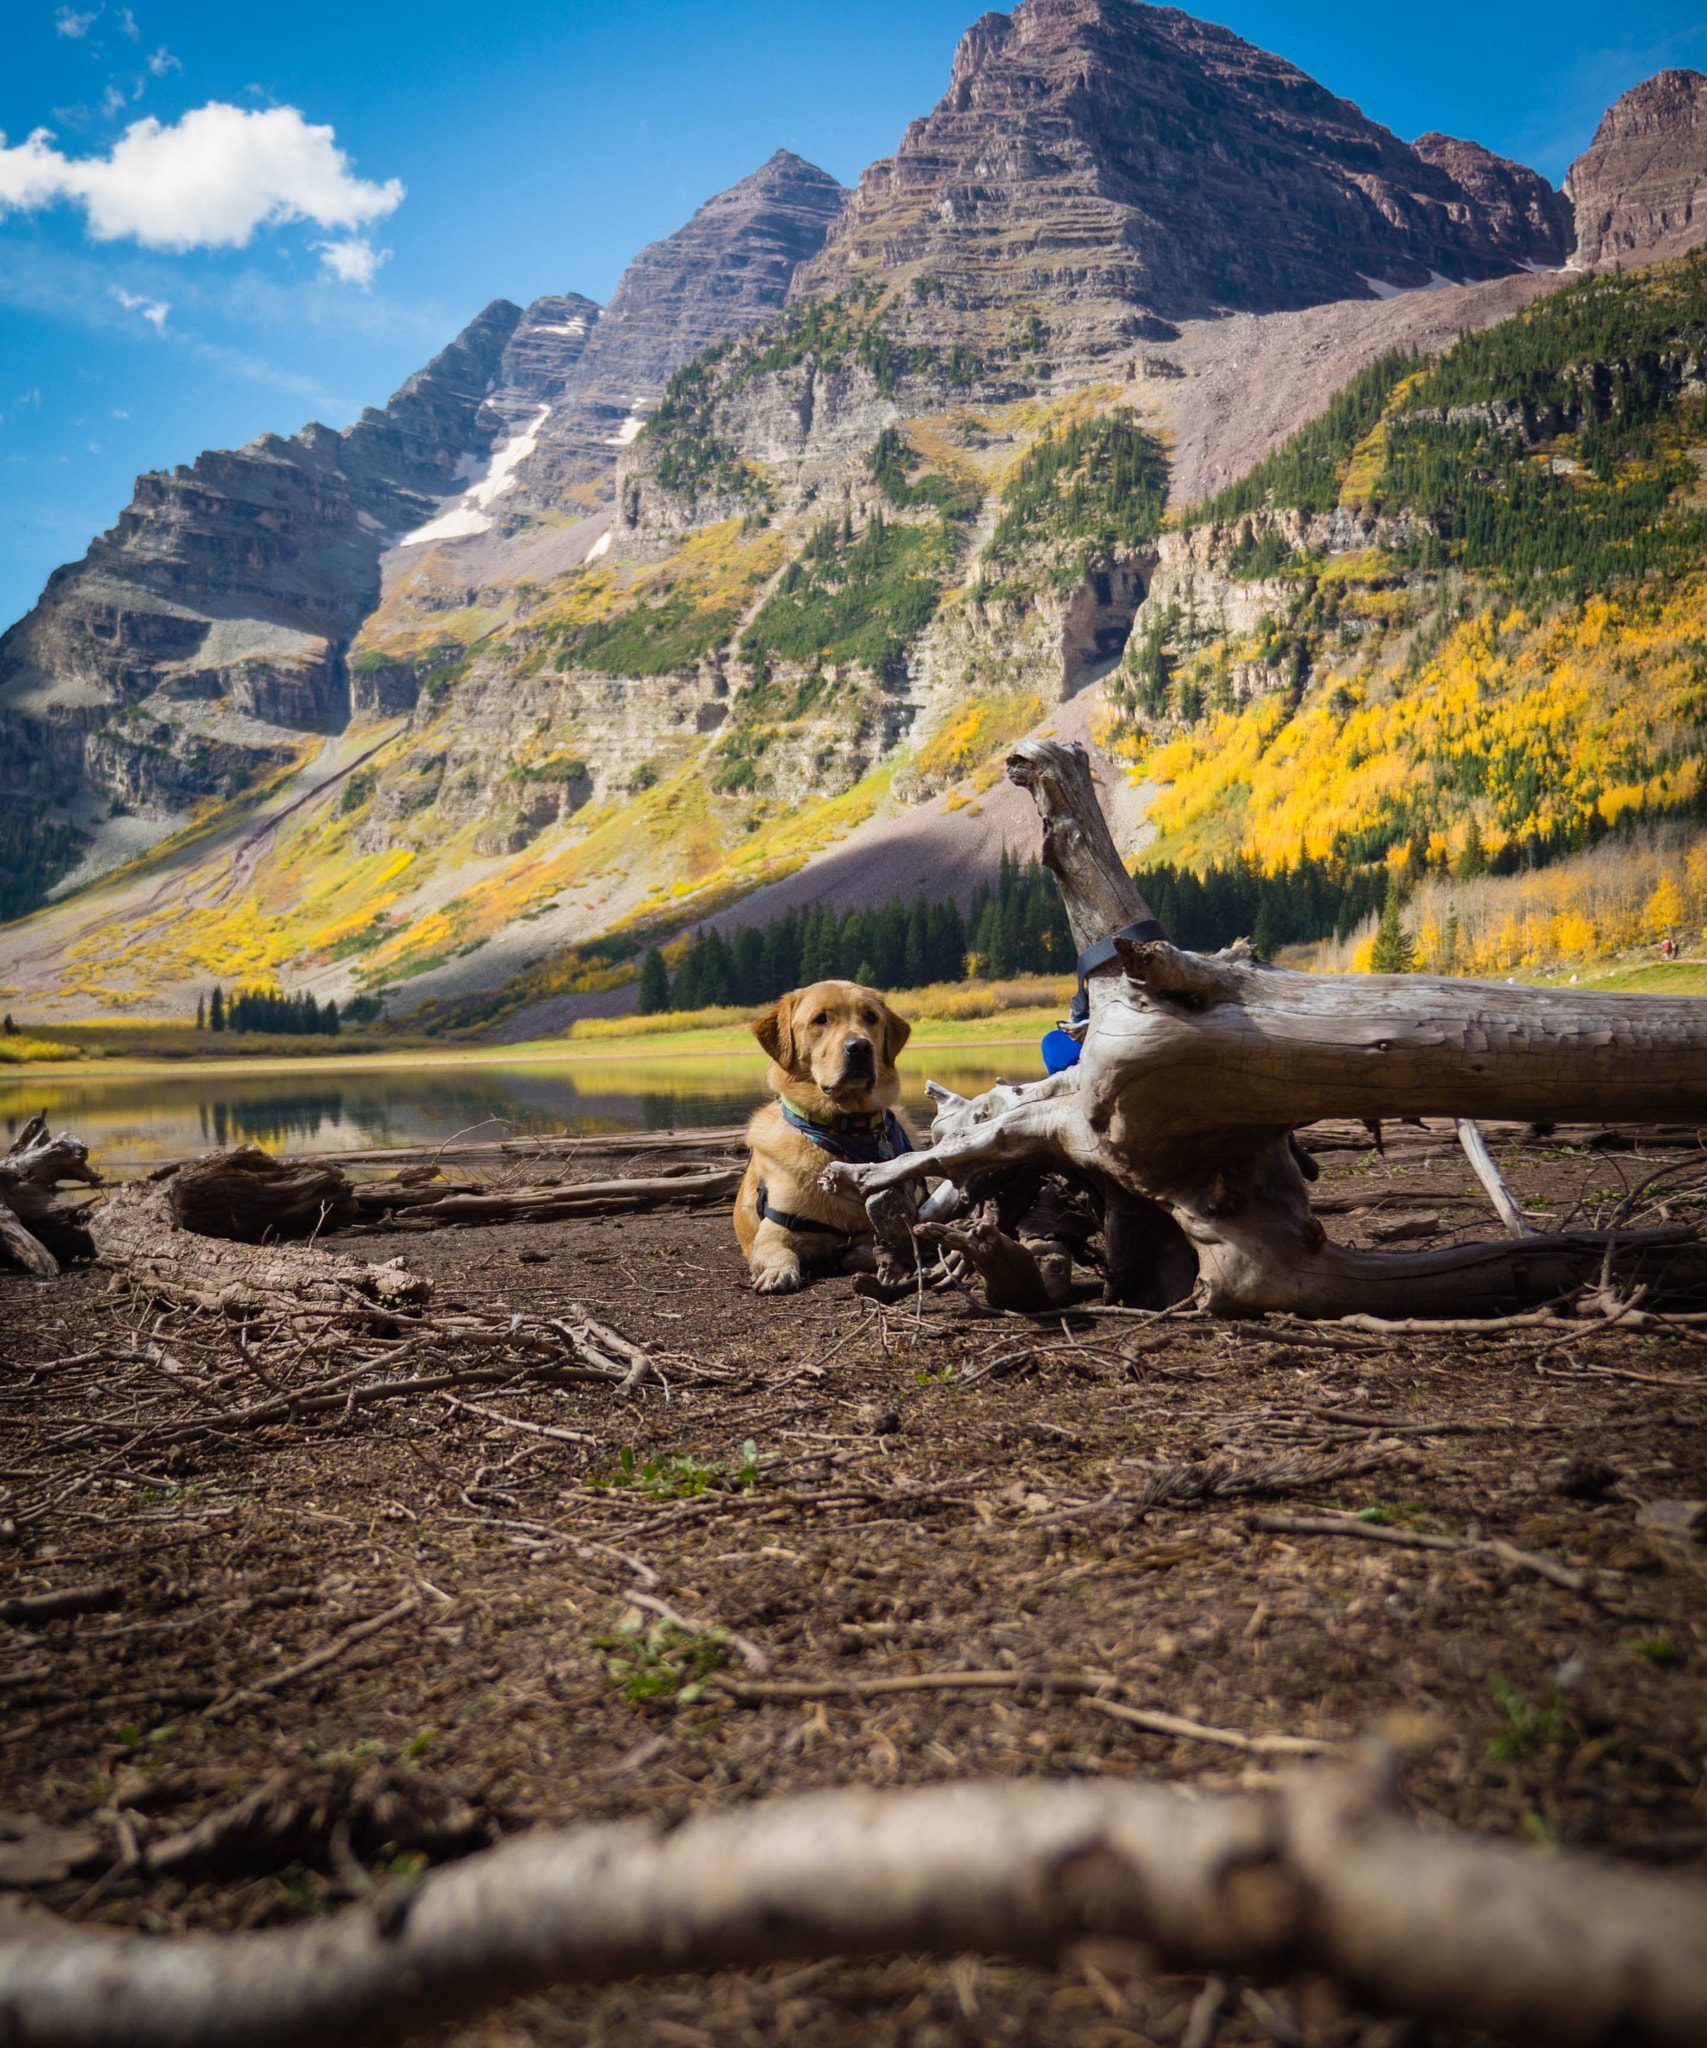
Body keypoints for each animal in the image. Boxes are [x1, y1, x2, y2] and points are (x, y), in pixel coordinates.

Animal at [737, 978, 913, 1294]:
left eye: (871, 1017)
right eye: (821, 1019)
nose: (860, 1046)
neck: (840, 1127)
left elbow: (874, 1248)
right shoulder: (773, 1233)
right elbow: (778, 1252)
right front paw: (779, 1273)